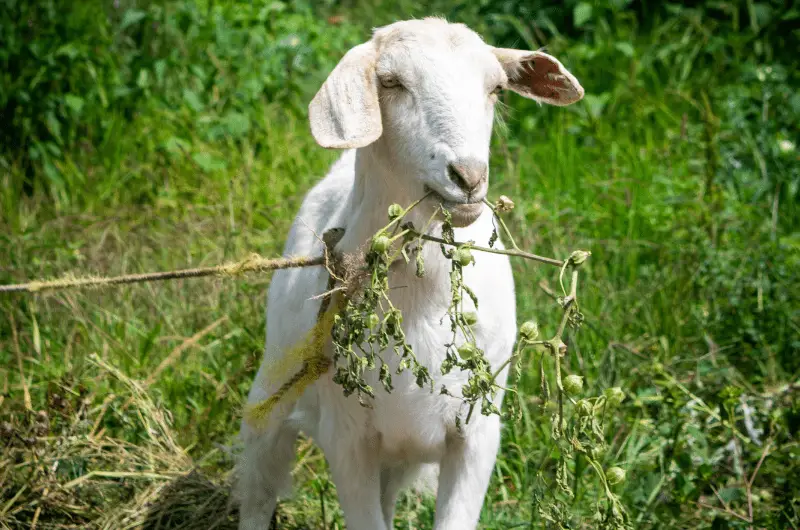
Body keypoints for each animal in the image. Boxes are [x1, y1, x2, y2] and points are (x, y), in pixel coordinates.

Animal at [238, 18, 584, 530]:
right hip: (272, 395)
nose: (468, 177)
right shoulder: (347, 437)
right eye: (390, 82)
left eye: (497, 89)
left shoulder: (477, 433)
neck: (422, 295)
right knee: (259, 488)